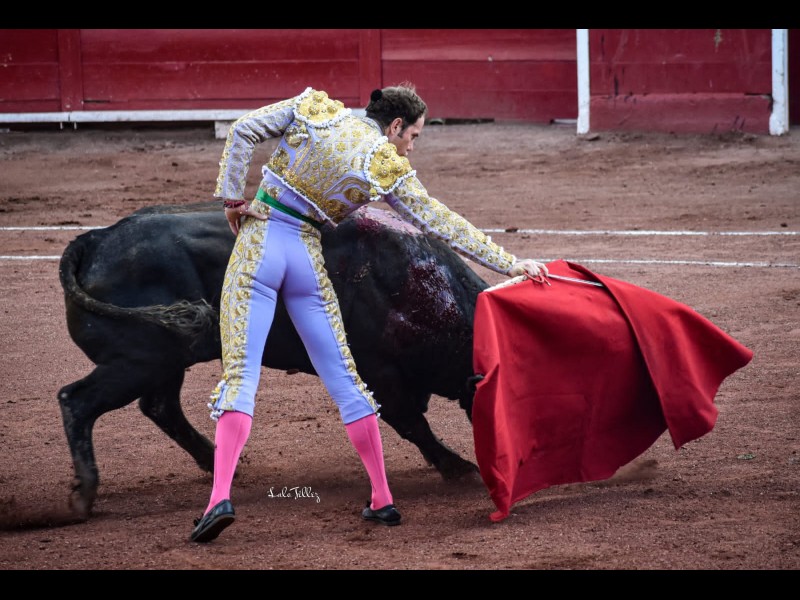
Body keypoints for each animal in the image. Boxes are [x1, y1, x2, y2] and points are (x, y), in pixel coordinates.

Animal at [58, 202, 490, 519]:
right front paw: (458, 468)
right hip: (141, 359)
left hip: (164, 360)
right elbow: (413, 425)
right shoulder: (379, 373)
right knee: (77, 400)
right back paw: (82, 497)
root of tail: (96, 238)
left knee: (159, 406)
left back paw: (218, 462)